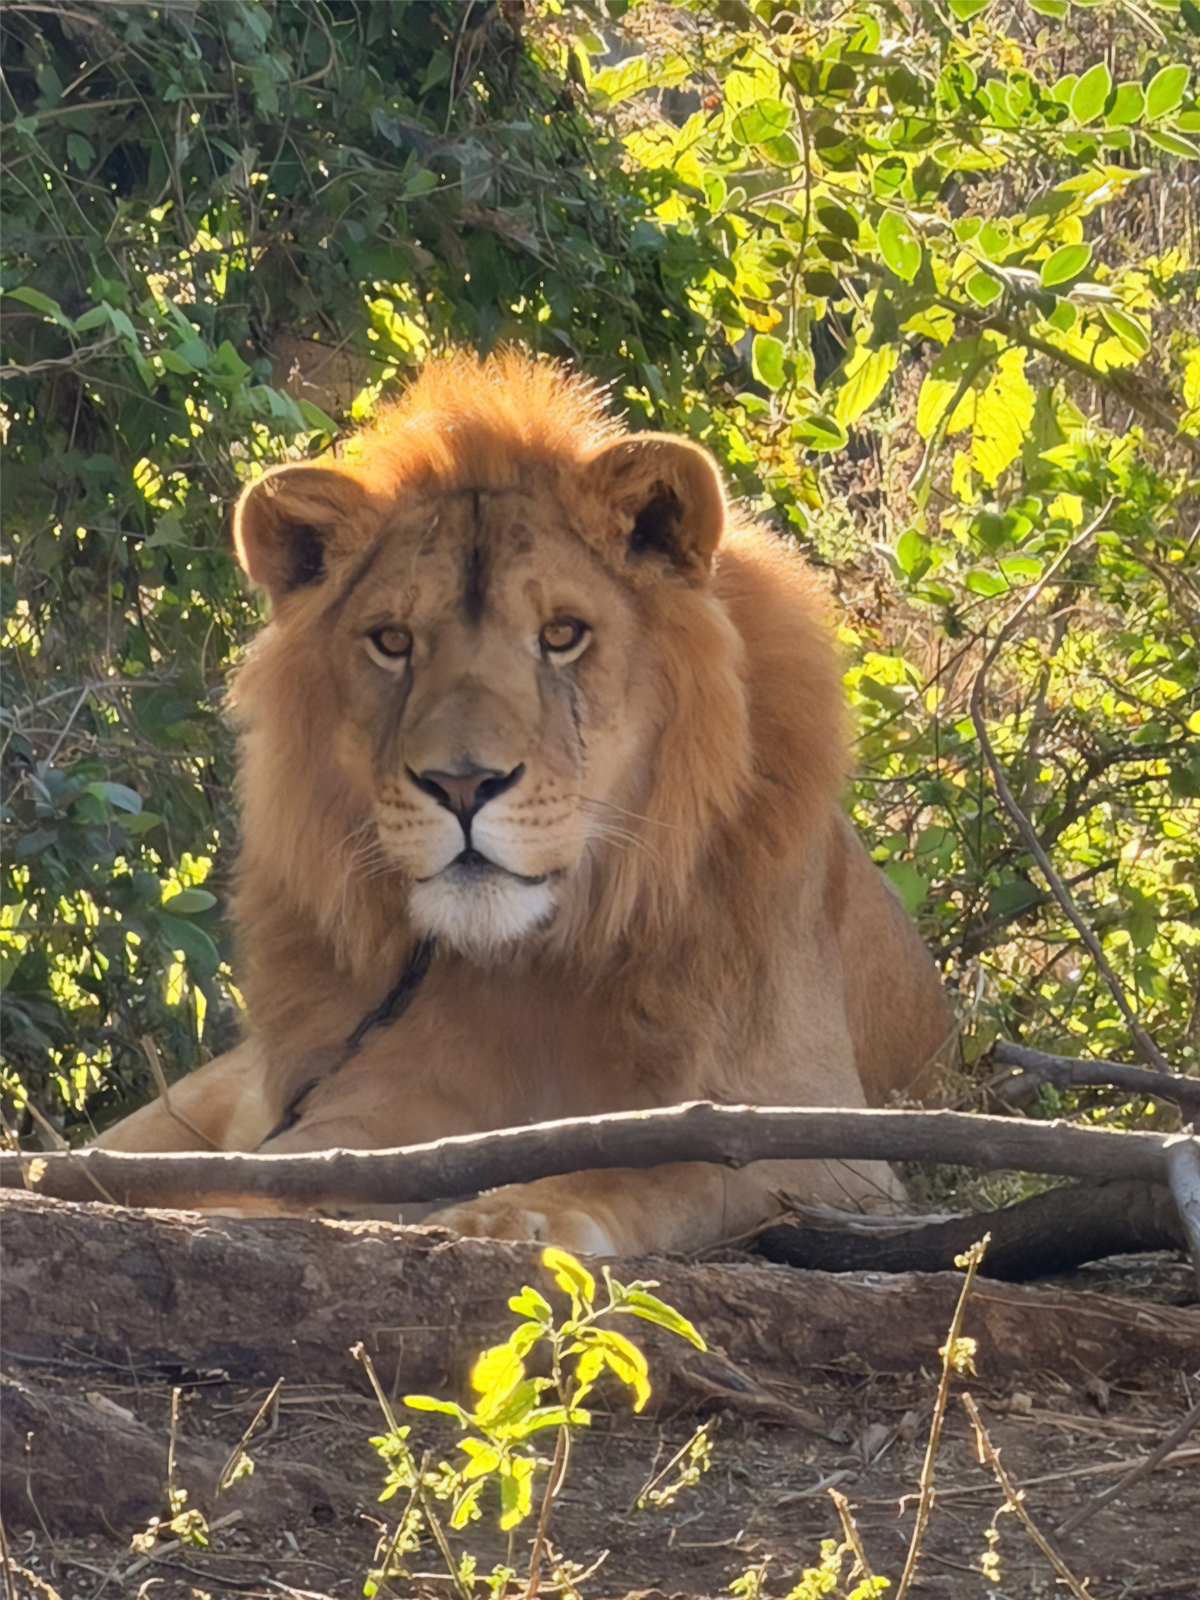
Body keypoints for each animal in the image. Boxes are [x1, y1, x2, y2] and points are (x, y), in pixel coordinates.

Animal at [95, 350, 952, 1255]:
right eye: (392, 641)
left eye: (562, 634)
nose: (462, 785)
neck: (534, 964)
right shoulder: (377, 1101)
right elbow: (288, 1171)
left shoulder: (831, 1148)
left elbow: (669, 1164)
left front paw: (510, 1212)